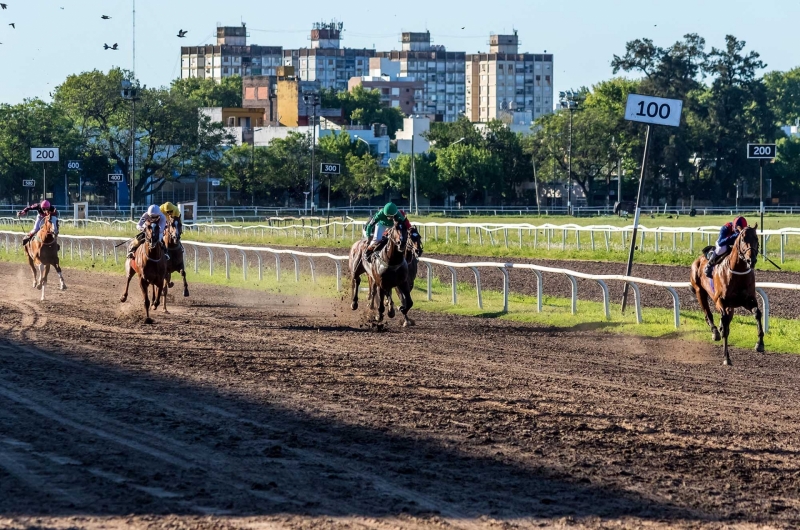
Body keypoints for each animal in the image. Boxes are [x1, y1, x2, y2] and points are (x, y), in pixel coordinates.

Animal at [688, 223, 764, 364]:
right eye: (743, 239)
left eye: (756, 239)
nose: (751, 260)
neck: (738, 272)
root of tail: (698, 259)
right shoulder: (721, 301)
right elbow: (724, 326)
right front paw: (726, 357)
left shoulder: (748, 300)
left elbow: (757, 313)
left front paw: (760, 344)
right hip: (700, 291)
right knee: (708, 314)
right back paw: (715, 332)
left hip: (730, 306)